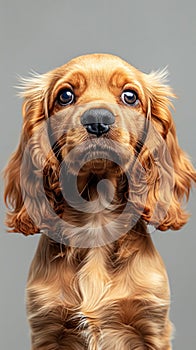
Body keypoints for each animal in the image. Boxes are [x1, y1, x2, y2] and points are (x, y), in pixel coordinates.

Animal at [3, 53, 195, 348]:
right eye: (65, 95)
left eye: (130, 96)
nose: (97, 121)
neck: (96, 218)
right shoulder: (46, 328)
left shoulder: (153, 327)